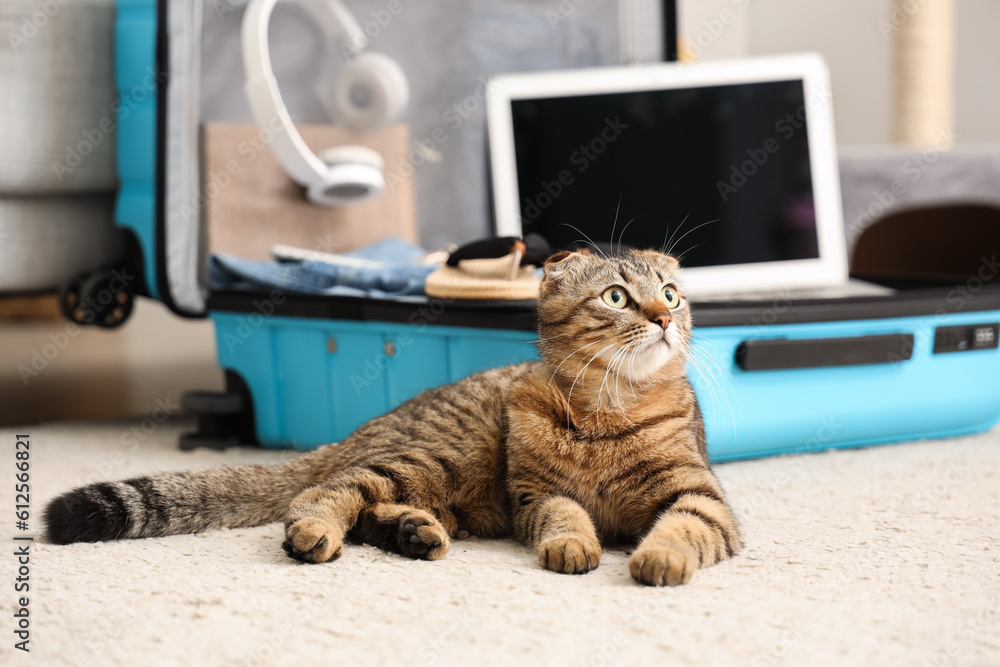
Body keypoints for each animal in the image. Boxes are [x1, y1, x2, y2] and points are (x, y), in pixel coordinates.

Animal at [47, 248, 744, 588]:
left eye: (672, 294)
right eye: (617, 296)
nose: (664, 317)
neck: (608, 410)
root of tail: (356, 432)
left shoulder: (699, 496)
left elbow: (682, 526)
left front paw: (660, 558)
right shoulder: (536, 496)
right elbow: (566, 517)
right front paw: (575, 545)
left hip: (446, 490)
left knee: (368, 510)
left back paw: (410, 532)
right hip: (435, 459)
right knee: (323, 494)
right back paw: (319, 533)